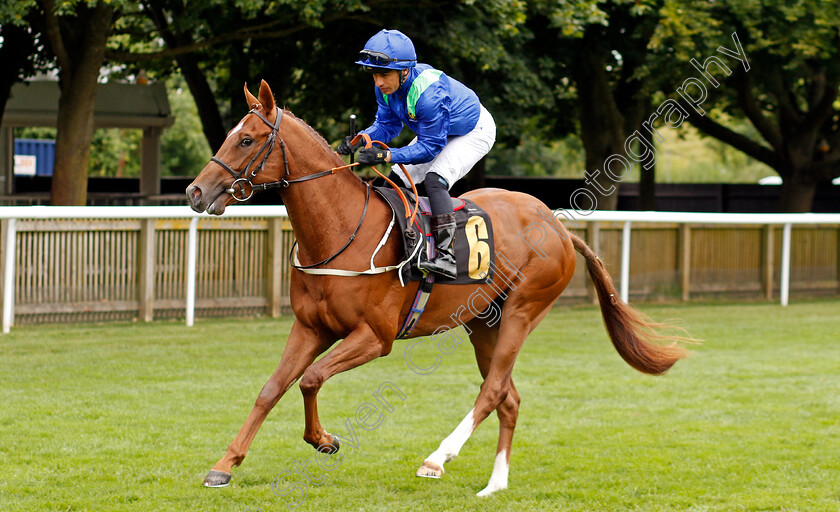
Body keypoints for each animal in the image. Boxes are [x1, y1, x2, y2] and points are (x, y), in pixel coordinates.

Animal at [185, 79, 688, 496]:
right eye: (230, 135)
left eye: (247, 139)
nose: (195, 192)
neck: (341, 231)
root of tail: (558, 226)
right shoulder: (310, 327)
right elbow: (272, 388)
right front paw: (224, 465)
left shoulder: (375, 337)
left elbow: (310, 378)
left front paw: (324, 440)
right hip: (484, 323)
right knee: (508, 397)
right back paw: (495, 484)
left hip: (523, 311)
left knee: (492, 392)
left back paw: (437, 458)